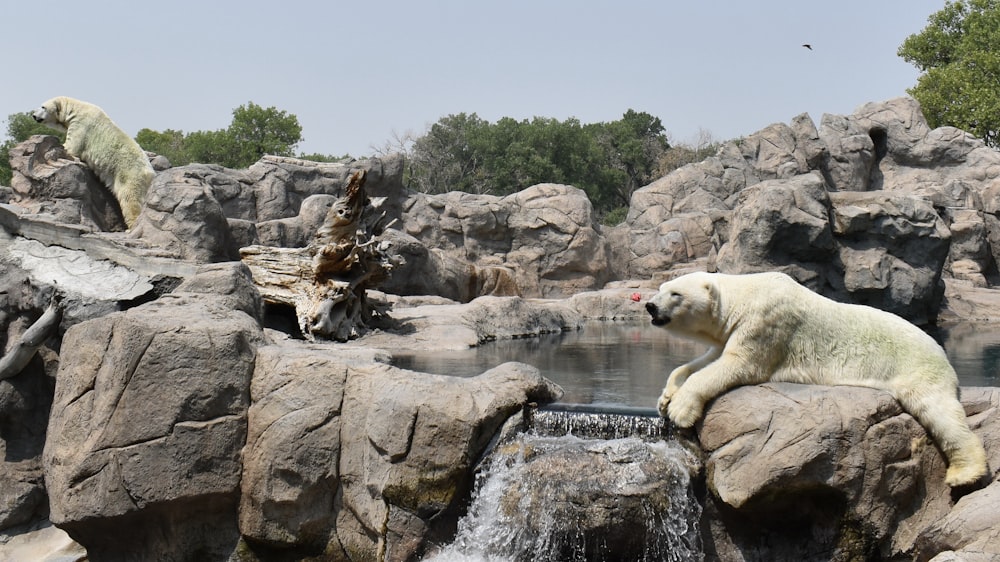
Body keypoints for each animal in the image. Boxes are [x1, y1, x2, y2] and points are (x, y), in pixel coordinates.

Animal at [32, 95, 153, 226]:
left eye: (43, 107)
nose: (33, 115)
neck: (75, 110)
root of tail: (150, 173)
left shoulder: (81, 125)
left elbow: (71, 147)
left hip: (129, 173)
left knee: (129, 198)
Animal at [644, 270, 988, 486]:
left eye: (675, 293)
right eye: (661, 289)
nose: (649, 305)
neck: (745, 294)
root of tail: (941, 350)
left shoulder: (766, 321)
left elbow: (737, 364)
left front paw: (680, 408)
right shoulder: (733, 331)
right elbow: (706, 359)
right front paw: (666, 395)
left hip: (916, 367)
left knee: (939, 411)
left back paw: (965, 473)